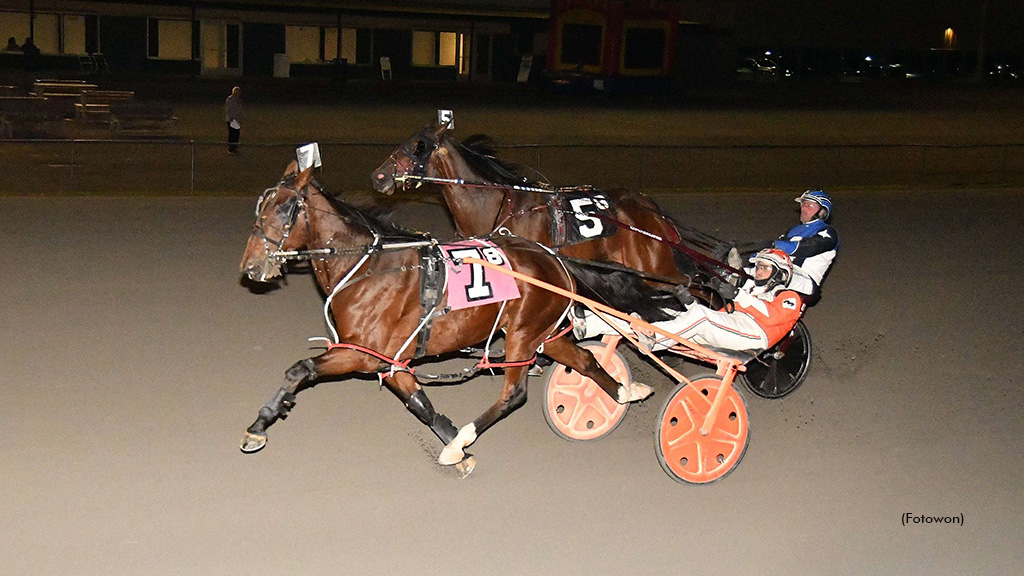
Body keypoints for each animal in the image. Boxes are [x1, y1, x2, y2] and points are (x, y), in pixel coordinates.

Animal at [238, 159, 651, 471]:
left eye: (284, 209)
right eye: (260, 209)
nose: (250, 267)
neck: (369, 267)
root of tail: (553, 256)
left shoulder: (361, 353)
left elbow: (299, 370)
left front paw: (258, 425)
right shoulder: (390, 359)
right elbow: (420, 403)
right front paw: (457, 447)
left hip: (522, 334)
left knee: (514, 393)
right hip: (542, 333)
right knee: (584, 360)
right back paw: (623, 392)